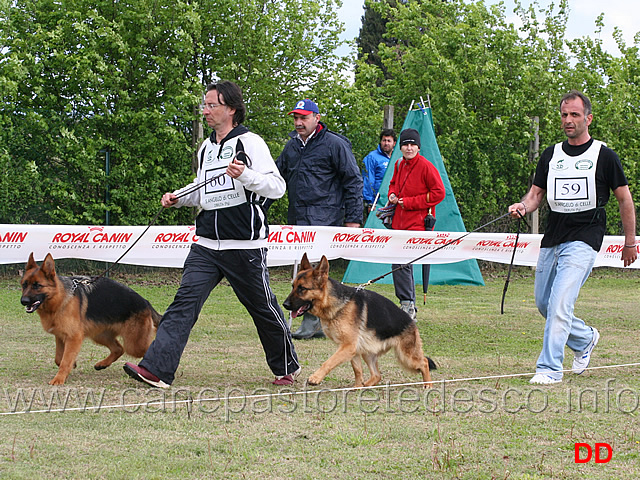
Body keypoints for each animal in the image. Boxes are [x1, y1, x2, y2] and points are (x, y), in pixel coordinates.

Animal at [20, 253, 162, 384]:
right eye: (24, 285)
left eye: (37, 285)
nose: (23, 301)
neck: (60, 298)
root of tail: (146, 303)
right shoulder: (60, 336)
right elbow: (59, 358)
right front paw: (71, 365)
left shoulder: (74, 337)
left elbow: (64, 360)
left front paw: (59, 379)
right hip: (100, 335)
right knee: (119, 349)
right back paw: (102, 364)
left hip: (134, 345)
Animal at [284, 253, 438, 388]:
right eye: (293, 286)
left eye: (302, 289)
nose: (285, 305)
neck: (336, 303)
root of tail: (411, 320)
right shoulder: (352, 349)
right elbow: (357, 370)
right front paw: (357, 387)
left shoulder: (348, 346)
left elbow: (328, 362)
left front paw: (315, 377)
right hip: (367, 352)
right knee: (377, 375)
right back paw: (365, 386)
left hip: (406, 356)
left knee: (424, 362)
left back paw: (428, 385)